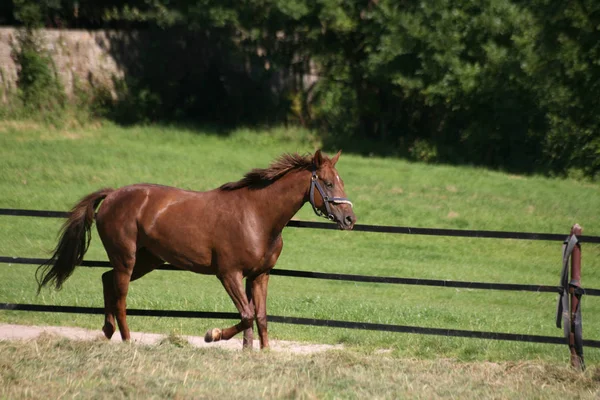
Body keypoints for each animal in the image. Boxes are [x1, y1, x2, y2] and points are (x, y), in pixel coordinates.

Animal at [35, 148, 356, 348]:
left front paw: (261, 353)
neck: (257, 215)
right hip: (127, 259)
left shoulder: (260, 275)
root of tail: (113, 194)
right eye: (328, 183)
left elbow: (260, 316)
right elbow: (247, 315)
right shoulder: (228, 273)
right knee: (120, 294)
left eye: (341, 181)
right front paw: (211, 335)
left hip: (148, 260)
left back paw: (108, 330)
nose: (350, 219)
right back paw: (126, 338)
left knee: (106, 280)